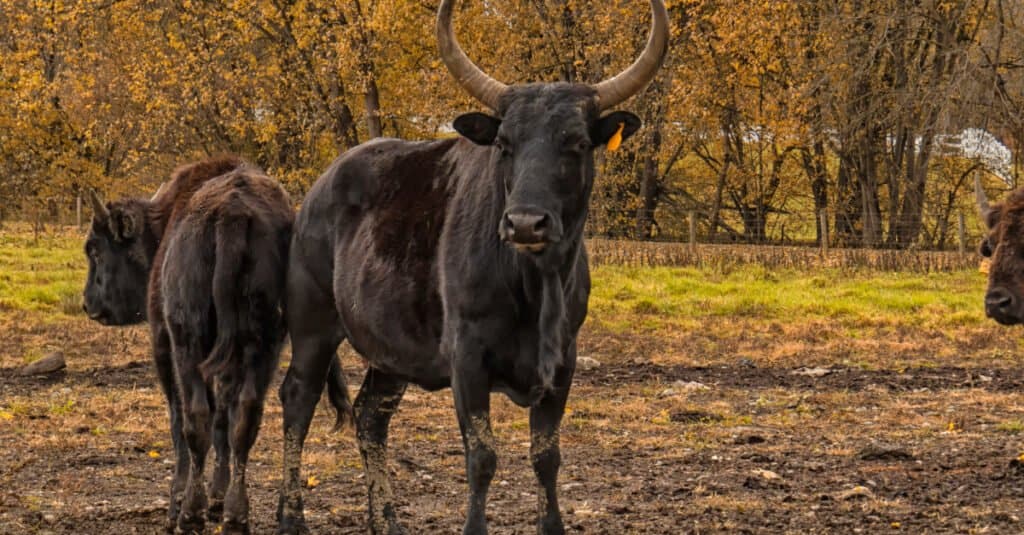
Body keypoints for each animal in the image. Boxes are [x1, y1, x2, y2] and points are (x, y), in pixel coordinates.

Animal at [276, 1, 667, 528]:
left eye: (578, 144)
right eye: (504, 144)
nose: (525, 223)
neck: (535, 290)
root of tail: (321, 186)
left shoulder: (562, 362)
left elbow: (547, 457)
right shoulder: (467, 360)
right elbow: (482, 457)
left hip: (391, 351)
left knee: (371, 416)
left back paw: (388, 521)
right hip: (312, 324)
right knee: (297, 401)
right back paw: (291, 517)